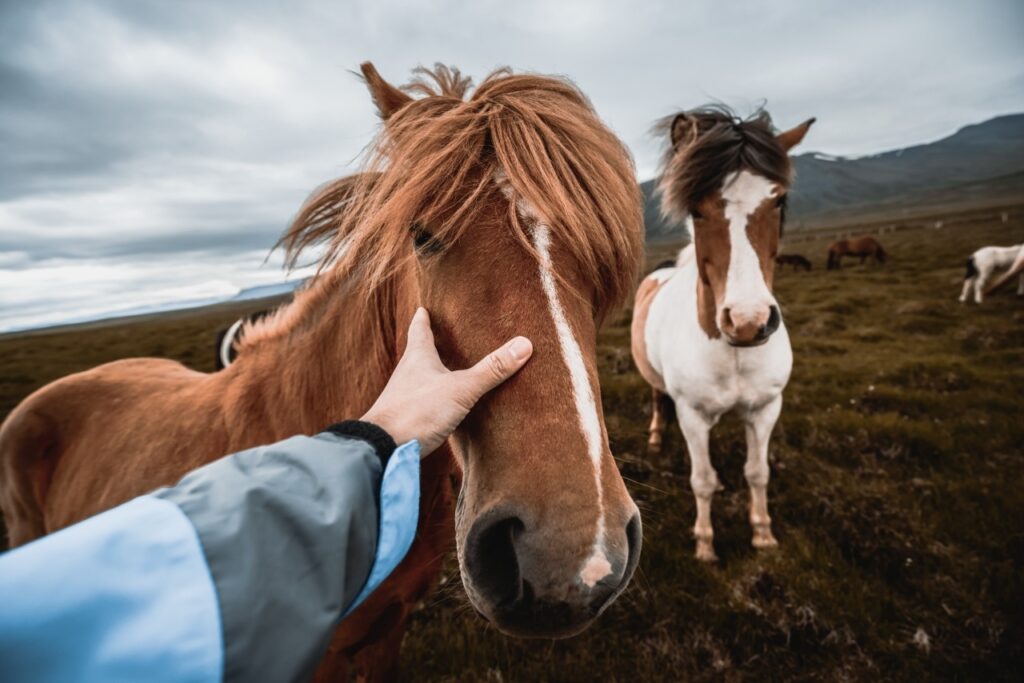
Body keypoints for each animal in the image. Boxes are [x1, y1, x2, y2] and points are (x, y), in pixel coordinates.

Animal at [631, 106, 813, 561]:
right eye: (696, 209)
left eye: (778, 199)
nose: (748, 321)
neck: (734, 353)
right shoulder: (692, 417)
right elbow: (702, 480)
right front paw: (705, 544)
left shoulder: (766, 408)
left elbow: (758, 472)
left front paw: (763, 534)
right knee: (657, 398)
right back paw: (657, 437)